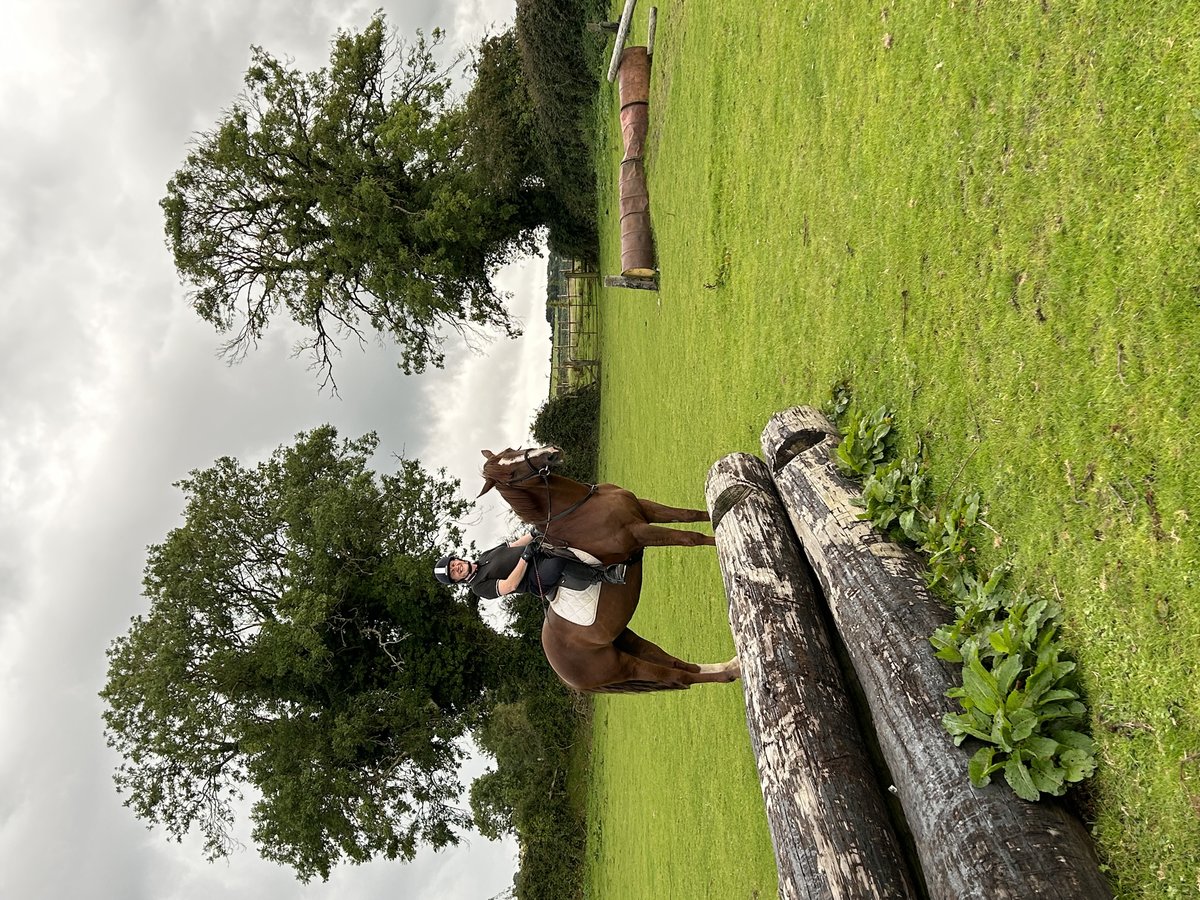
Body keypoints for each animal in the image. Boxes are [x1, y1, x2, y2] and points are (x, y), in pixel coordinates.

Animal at [478, 446, 741, 693]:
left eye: (512, 451)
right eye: (511, 474)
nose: (551, 453)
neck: (580, 508)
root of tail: (562, 674)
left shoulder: (645, 509)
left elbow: (690, 515)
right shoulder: (638, 532)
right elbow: (691, 538)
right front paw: (726, 540)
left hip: (626, 640)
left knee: (677, 664)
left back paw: (731, 665)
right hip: (622, 666)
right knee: (679, 676)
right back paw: (730, 671)